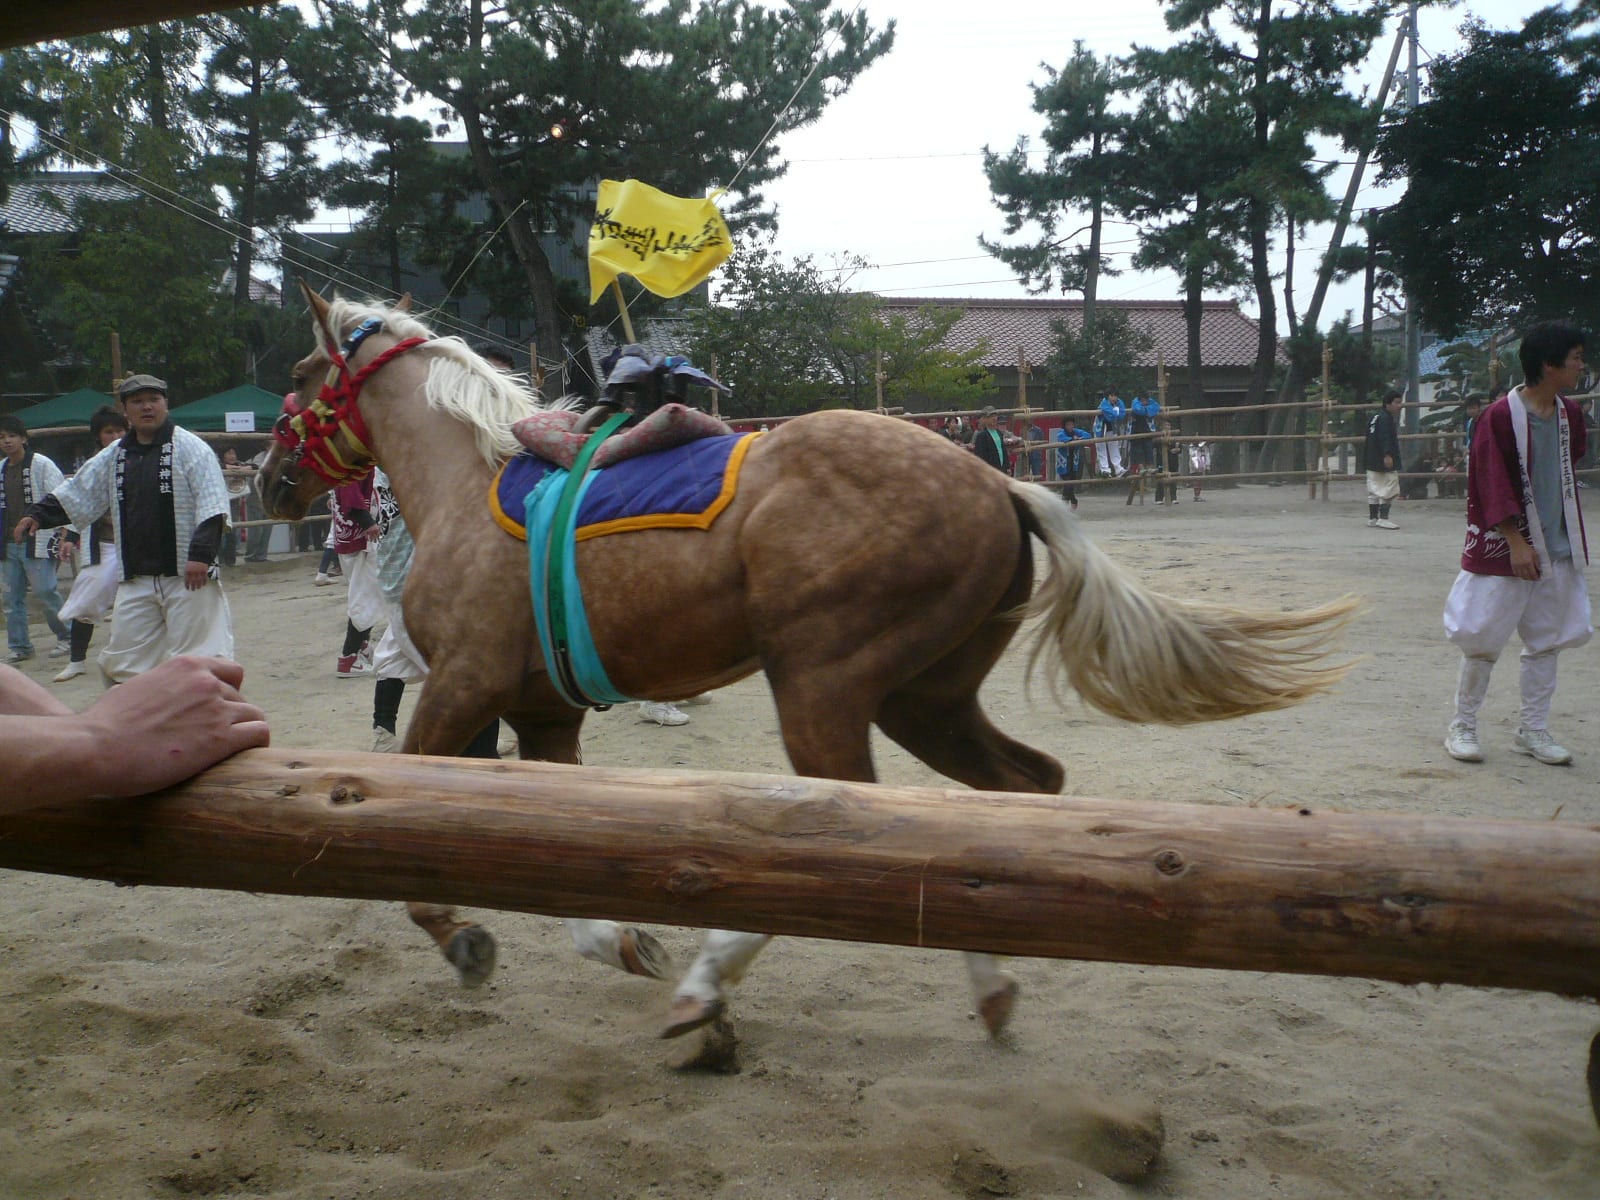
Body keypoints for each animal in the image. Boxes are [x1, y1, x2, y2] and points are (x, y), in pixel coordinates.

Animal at [259, 291, 1350, 1043]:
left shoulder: (463, 688)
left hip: (822, 687)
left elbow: (413, 832)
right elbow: (558, 861)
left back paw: (715, 986)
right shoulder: (544, 716)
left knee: (865, 828)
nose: (270, 482)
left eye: (298, 377)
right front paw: (620, 940)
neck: (467, 483)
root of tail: (995, 478)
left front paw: (463, 936)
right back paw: (991, 980)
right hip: (924, 699)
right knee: (1011, 794)